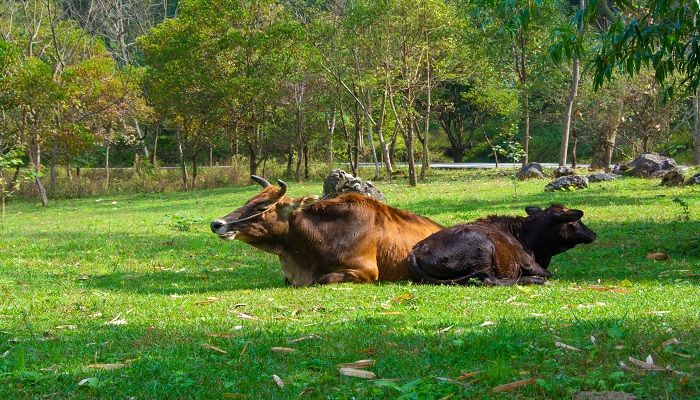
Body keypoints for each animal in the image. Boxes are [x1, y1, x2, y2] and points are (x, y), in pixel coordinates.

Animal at [404, 205, 596, 286]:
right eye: (576, 221)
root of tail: (416, 251)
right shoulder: (529, 263)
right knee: (489, 280)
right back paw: (533, 280)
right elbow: (549, 273)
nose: (593, 233)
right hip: (484, 249)